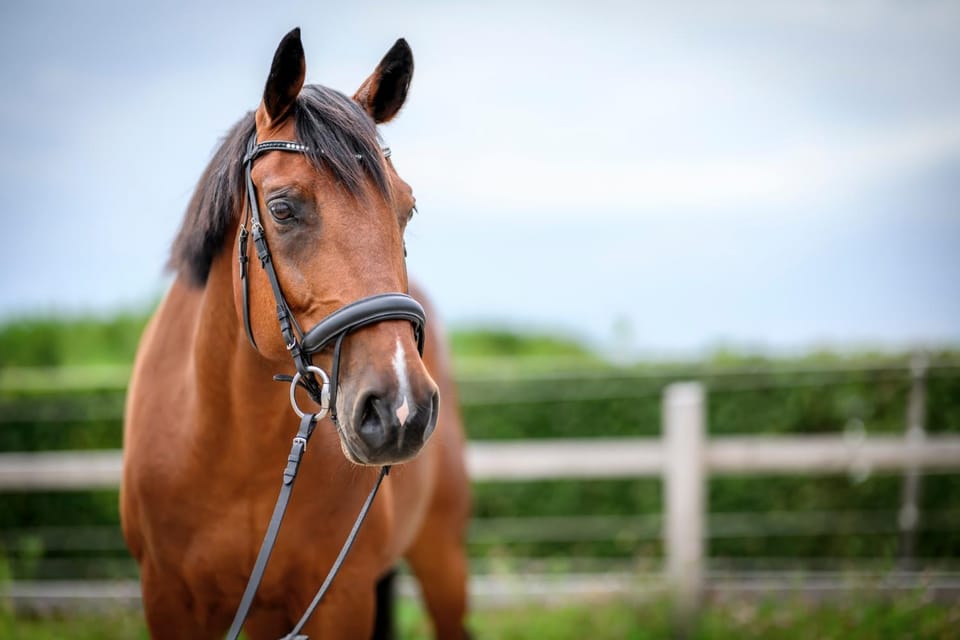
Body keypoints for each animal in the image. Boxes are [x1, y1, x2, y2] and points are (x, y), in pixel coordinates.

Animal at [120, 28, 471, 639]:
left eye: (407, 208)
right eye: (283, 209)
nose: (401, 408)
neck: (232, 452)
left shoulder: (341, 601)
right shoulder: (167, 600)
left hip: (442, 561)